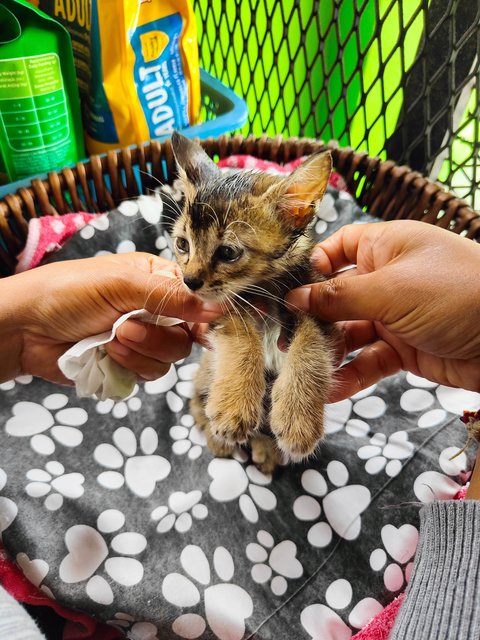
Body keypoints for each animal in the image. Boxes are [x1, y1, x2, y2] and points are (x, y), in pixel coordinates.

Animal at [171, 132, 336, 472]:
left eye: (227, 252)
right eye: (182, 244)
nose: (189, 281)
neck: (265, 290)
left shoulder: (316, 303)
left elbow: (312, 346)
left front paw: (298, 418)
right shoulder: (220, 309)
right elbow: (240, 332)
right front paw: (234, 405)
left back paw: (266, 448)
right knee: (195, 401)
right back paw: (218, 438)